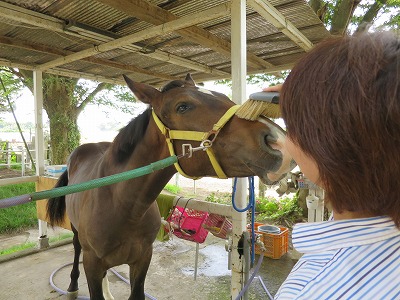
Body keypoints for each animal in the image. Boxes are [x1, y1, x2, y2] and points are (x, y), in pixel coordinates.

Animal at [46, 74, 294, 298]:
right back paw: (72, 286)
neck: (122, 206)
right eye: (182, 106)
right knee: (76, 249)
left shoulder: (142, 260)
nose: (279, 141)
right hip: (77, 234)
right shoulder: (93, 264)